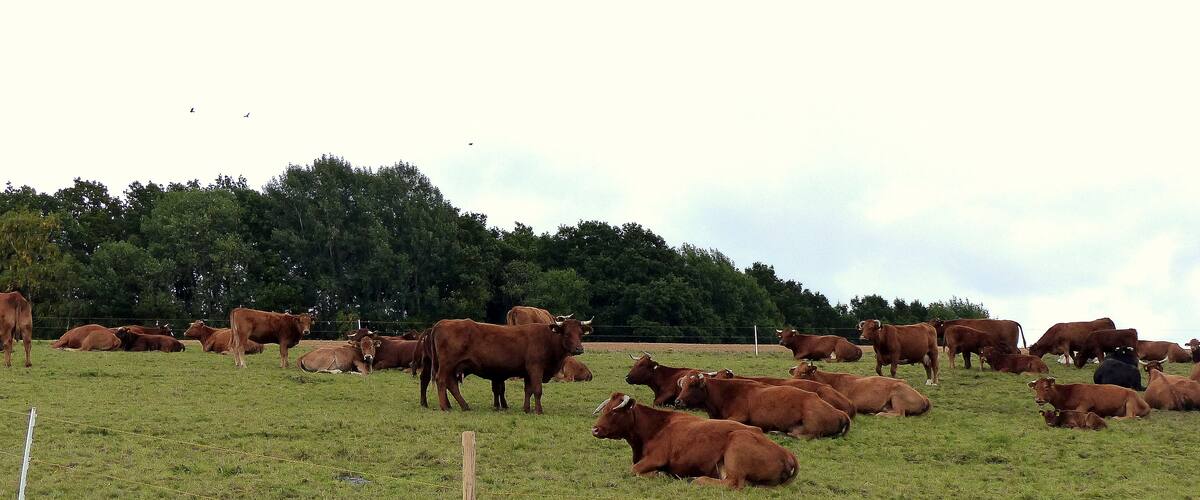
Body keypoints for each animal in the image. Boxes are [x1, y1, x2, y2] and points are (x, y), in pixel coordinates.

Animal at [421, 316, 590, 414]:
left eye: (580, 333)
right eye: (567, 333)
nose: (579, 349)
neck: (548, 338)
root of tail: (442, 322)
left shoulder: (528, 372)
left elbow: (528, 391)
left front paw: (526, 409)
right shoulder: (536, 369)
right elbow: (537, 390)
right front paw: (538, 410)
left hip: (453, 367)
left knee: (452, 384)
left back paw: (464, 406)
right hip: (447, 365)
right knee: (442, 381)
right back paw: (444, 407)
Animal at [590, 392, 797, 489]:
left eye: (615, 412)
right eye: (604, 409)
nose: (595, 429)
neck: (656, 427)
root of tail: (787, 453)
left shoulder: (656, 458)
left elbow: (633, 470)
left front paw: (659, 474)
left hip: (736, 445)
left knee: (732, 483)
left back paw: (695, 479)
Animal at [675, 374, 850, 439]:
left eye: (692, 385)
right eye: (682, 385)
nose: (677, 401)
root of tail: (840, 413)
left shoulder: (739, 416)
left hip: (810, 425)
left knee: (800, 435)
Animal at [789, 364, 930, 416]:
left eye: (803, 373)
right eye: (794, 372)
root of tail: (923, 397)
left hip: (898, 395)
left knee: (899, 413)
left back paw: (879, 414)